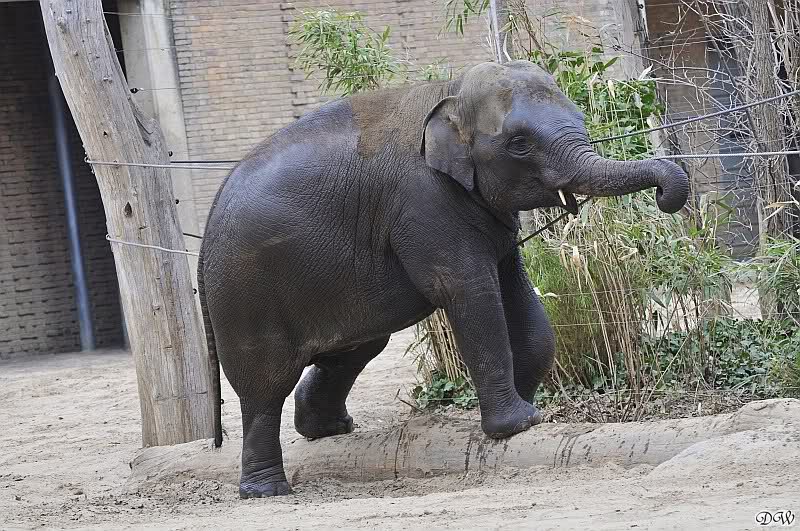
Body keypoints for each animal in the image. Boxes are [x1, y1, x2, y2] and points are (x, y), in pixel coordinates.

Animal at [197, 60, 689, 498]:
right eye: (519, 144)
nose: (665, 197)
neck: (450, 92)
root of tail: (207, 228)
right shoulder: (425, 201)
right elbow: (469, 291)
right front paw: (518, 424)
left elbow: (515, 289)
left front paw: (529, 410)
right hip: (245, 294)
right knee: (265, 387)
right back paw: (266, 490)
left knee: (356, 349)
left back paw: (330, 429)